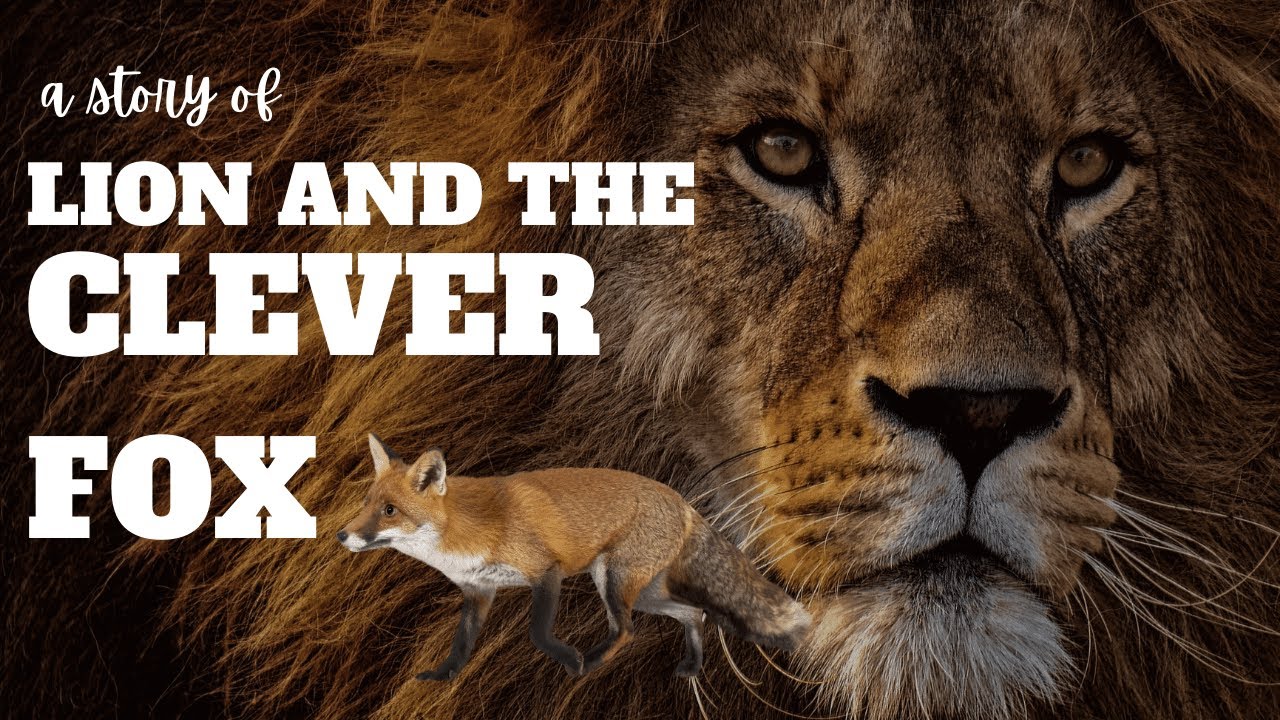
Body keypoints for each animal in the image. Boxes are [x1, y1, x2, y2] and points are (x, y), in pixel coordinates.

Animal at [337, 434, 811, 680]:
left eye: (390, 511)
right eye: (365, 503)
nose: (342, 534)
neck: (463, 533)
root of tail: (682, 501)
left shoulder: (547, 571)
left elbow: (537, 633)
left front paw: (568, 658)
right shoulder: (479, 591)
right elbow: (461, 644)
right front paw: (443, 676)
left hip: (614, 582)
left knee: (627, 631)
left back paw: (592, 662)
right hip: (642, 591)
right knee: (696, 613)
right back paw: (692, 666)